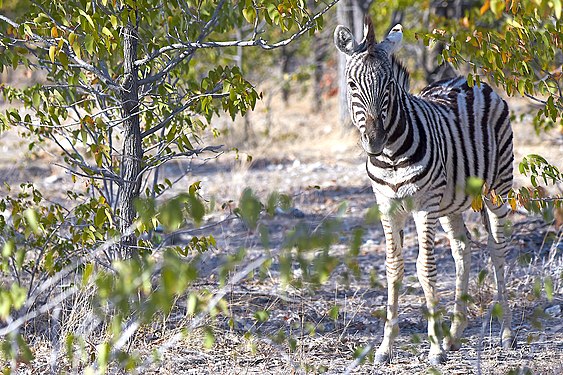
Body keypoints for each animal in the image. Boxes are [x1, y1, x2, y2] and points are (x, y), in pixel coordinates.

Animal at [334, 16, 516, 366]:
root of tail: (469, 80)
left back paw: (506, 335)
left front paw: (433, 348)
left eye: (389, 86)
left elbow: (425, 268)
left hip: (496, 188)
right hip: (451, 203)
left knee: (498, 249)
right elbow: (393, 267)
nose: (374, 141)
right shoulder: (387, 205)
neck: (391, 157)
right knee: (462, 248)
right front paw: (385, 347)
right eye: (351, 85)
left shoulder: (424, 206)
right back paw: (454, 336)